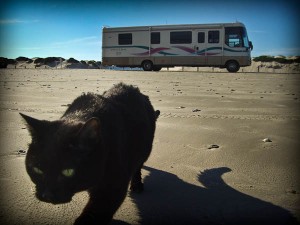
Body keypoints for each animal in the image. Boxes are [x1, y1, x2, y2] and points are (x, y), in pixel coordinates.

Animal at [20, 83, 161, 225]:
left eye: (68, 172)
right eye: (37, 170)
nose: (47, 195)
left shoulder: (113, 186)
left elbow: (95, 213)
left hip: (145, 149)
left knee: (138, 166)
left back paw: (137, 185)